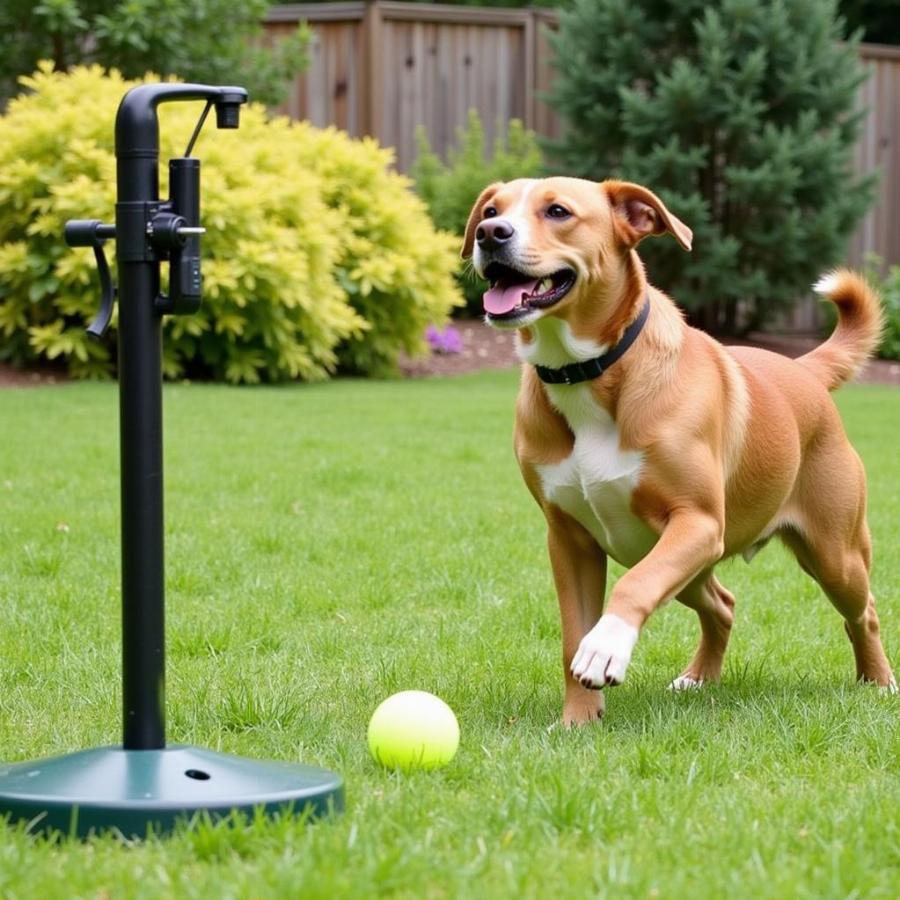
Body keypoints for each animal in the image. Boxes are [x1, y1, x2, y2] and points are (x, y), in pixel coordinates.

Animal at [464, 174, 892, 724]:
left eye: (557, 211)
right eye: (490, 211)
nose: (490, 234)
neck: (590, 373)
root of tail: (804, 371)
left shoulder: (698, 521)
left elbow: (631, 588)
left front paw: (606, 646)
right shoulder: (570, 540)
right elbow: (572, 636)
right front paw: (578, 719)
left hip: (833, 552)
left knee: (864, 610)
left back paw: (878, 682)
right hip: (683, 562)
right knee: (722, 604)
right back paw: (699, 677)